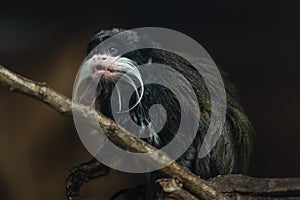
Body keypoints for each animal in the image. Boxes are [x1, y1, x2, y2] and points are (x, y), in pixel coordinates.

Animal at [65, 28, 253, 200]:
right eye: (95, 51)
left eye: (112, 49)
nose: (98, 58)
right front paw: (89, 169)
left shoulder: (164, 89)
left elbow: (184, 138)